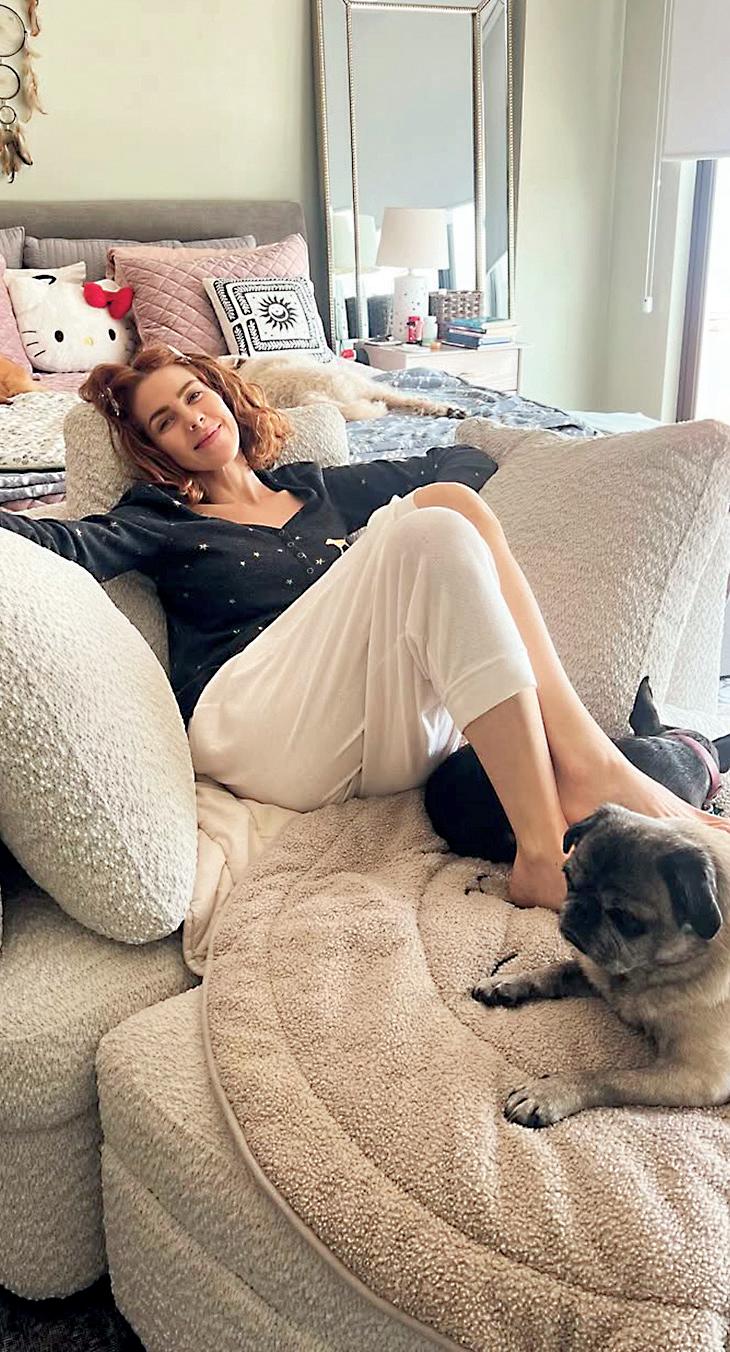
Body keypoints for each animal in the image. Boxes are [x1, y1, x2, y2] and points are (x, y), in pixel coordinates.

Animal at [472, 804, 730, 1125]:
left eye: (626, 919)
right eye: (568, 878)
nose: (582, 909)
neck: (640, 976)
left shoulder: (697, 1076)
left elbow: (611, 1077)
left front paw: (550, 1092)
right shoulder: (596, 971)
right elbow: (556, 970)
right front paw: (507, 981)